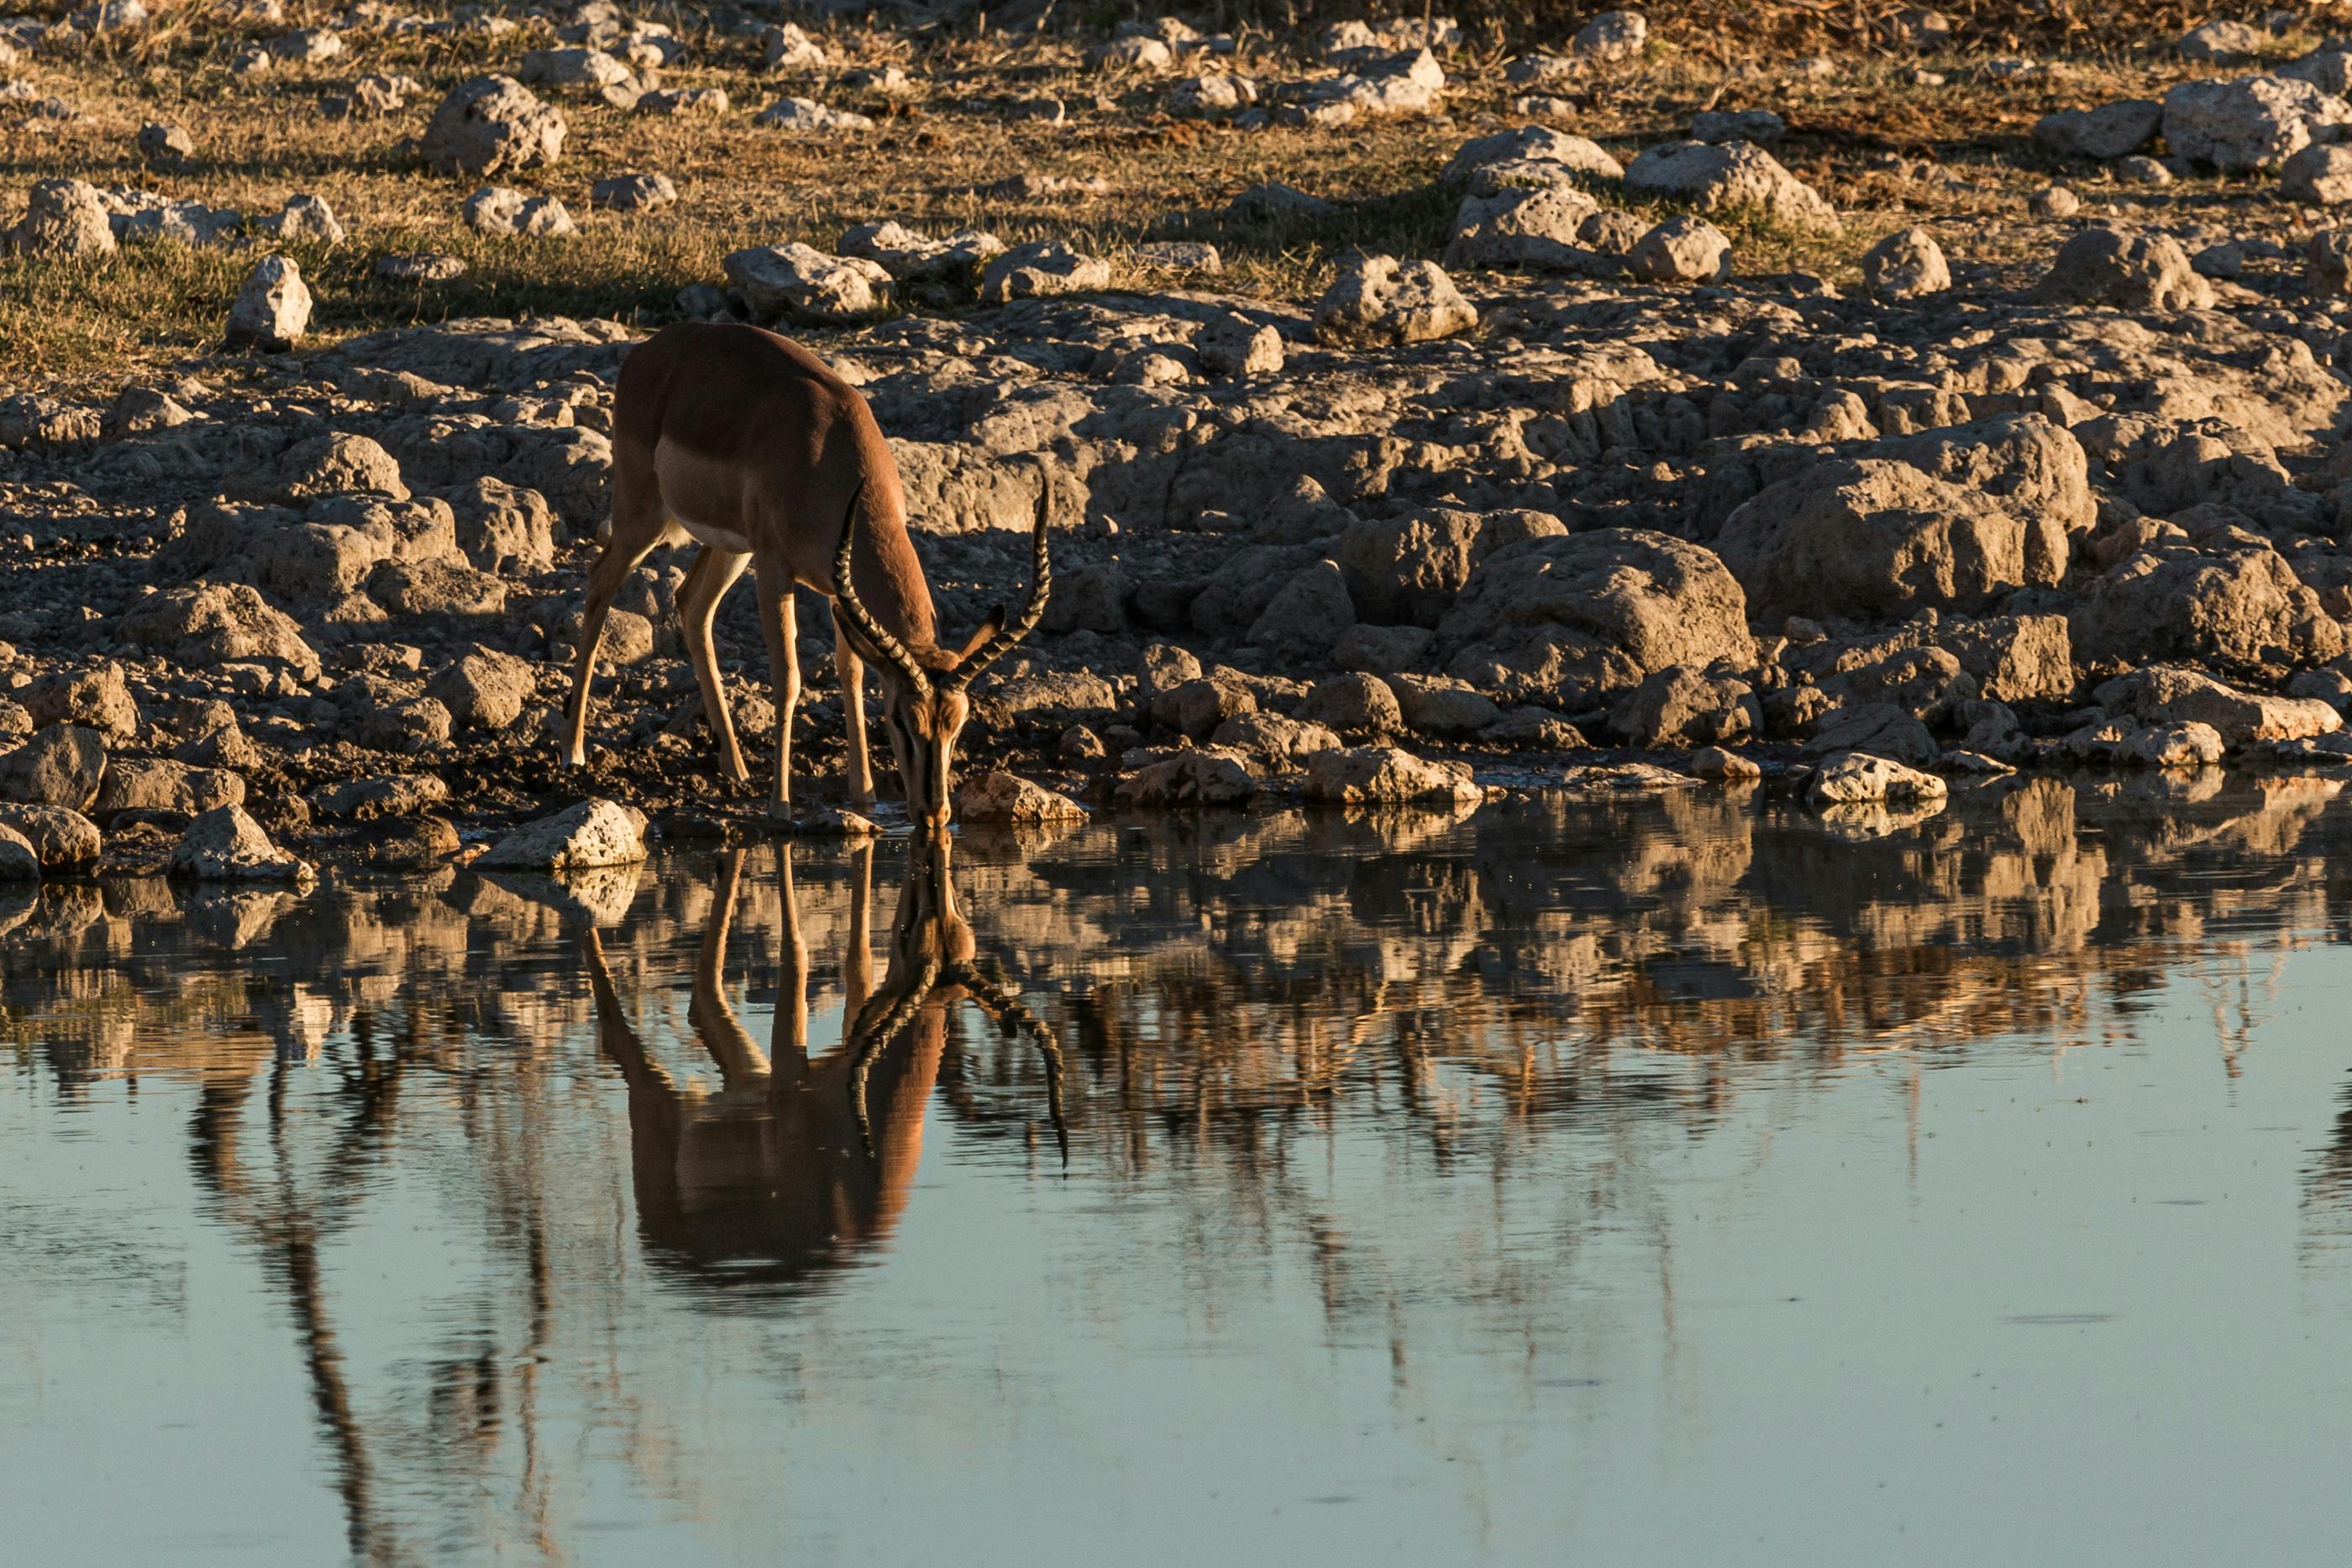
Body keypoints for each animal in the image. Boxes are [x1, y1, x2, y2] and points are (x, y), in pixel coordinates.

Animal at [560, 321, 1051, 830]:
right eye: (900, 719)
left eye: (958, 723)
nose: (934, 813)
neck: (823, 451)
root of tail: (647, 349)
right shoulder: (776, 569)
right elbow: (789, 679)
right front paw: (781, 806)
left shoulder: (837, 587)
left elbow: (851, 671)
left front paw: (864, 795)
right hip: (645, 516)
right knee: (599, 582)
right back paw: (573, 752)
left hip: (731, 548)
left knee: (692, 604)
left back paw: (735, 767)